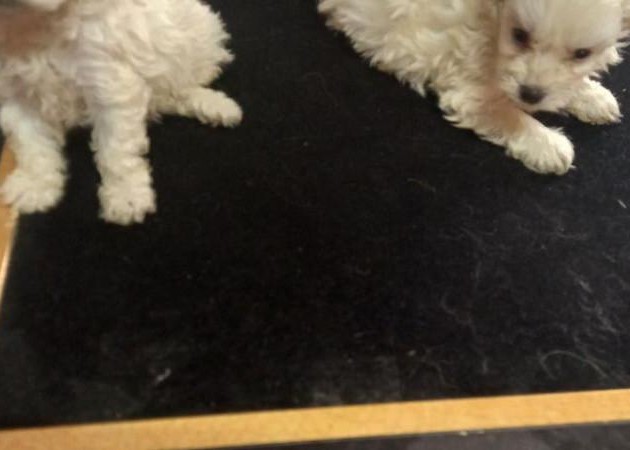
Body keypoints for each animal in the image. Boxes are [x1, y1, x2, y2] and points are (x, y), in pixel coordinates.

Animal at [0, 0, 241, 225]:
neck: (41, 23)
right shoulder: (16, 97)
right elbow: (32, 147)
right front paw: (36, 185)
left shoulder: (109, 86)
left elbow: (117, 151)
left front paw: (126, 196)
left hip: (195, 35)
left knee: (184, 83)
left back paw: (217, 105)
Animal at [319, 0, 628, 175]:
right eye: (519, 35)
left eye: (582, 54)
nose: (530, 94)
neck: (493, 17)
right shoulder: (470, 93)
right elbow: (509, 116)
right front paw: (548, 144)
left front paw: (592, 97)